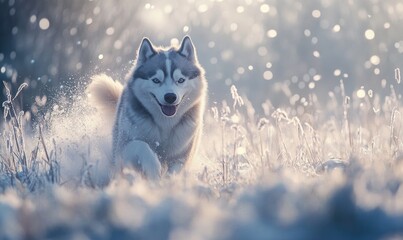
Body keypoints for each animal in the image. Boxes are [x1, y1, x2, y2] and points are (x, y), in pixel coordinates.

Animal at [87, 35, 208, 178]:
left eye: (181, 80)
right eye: (156, 80)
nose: (170, 97)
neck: (165, 123)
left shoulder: (182, 154)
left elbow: (175, 170)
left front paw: (168, 181)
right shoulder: (123, 149)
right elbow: (142, 146)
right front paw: (154, 169)